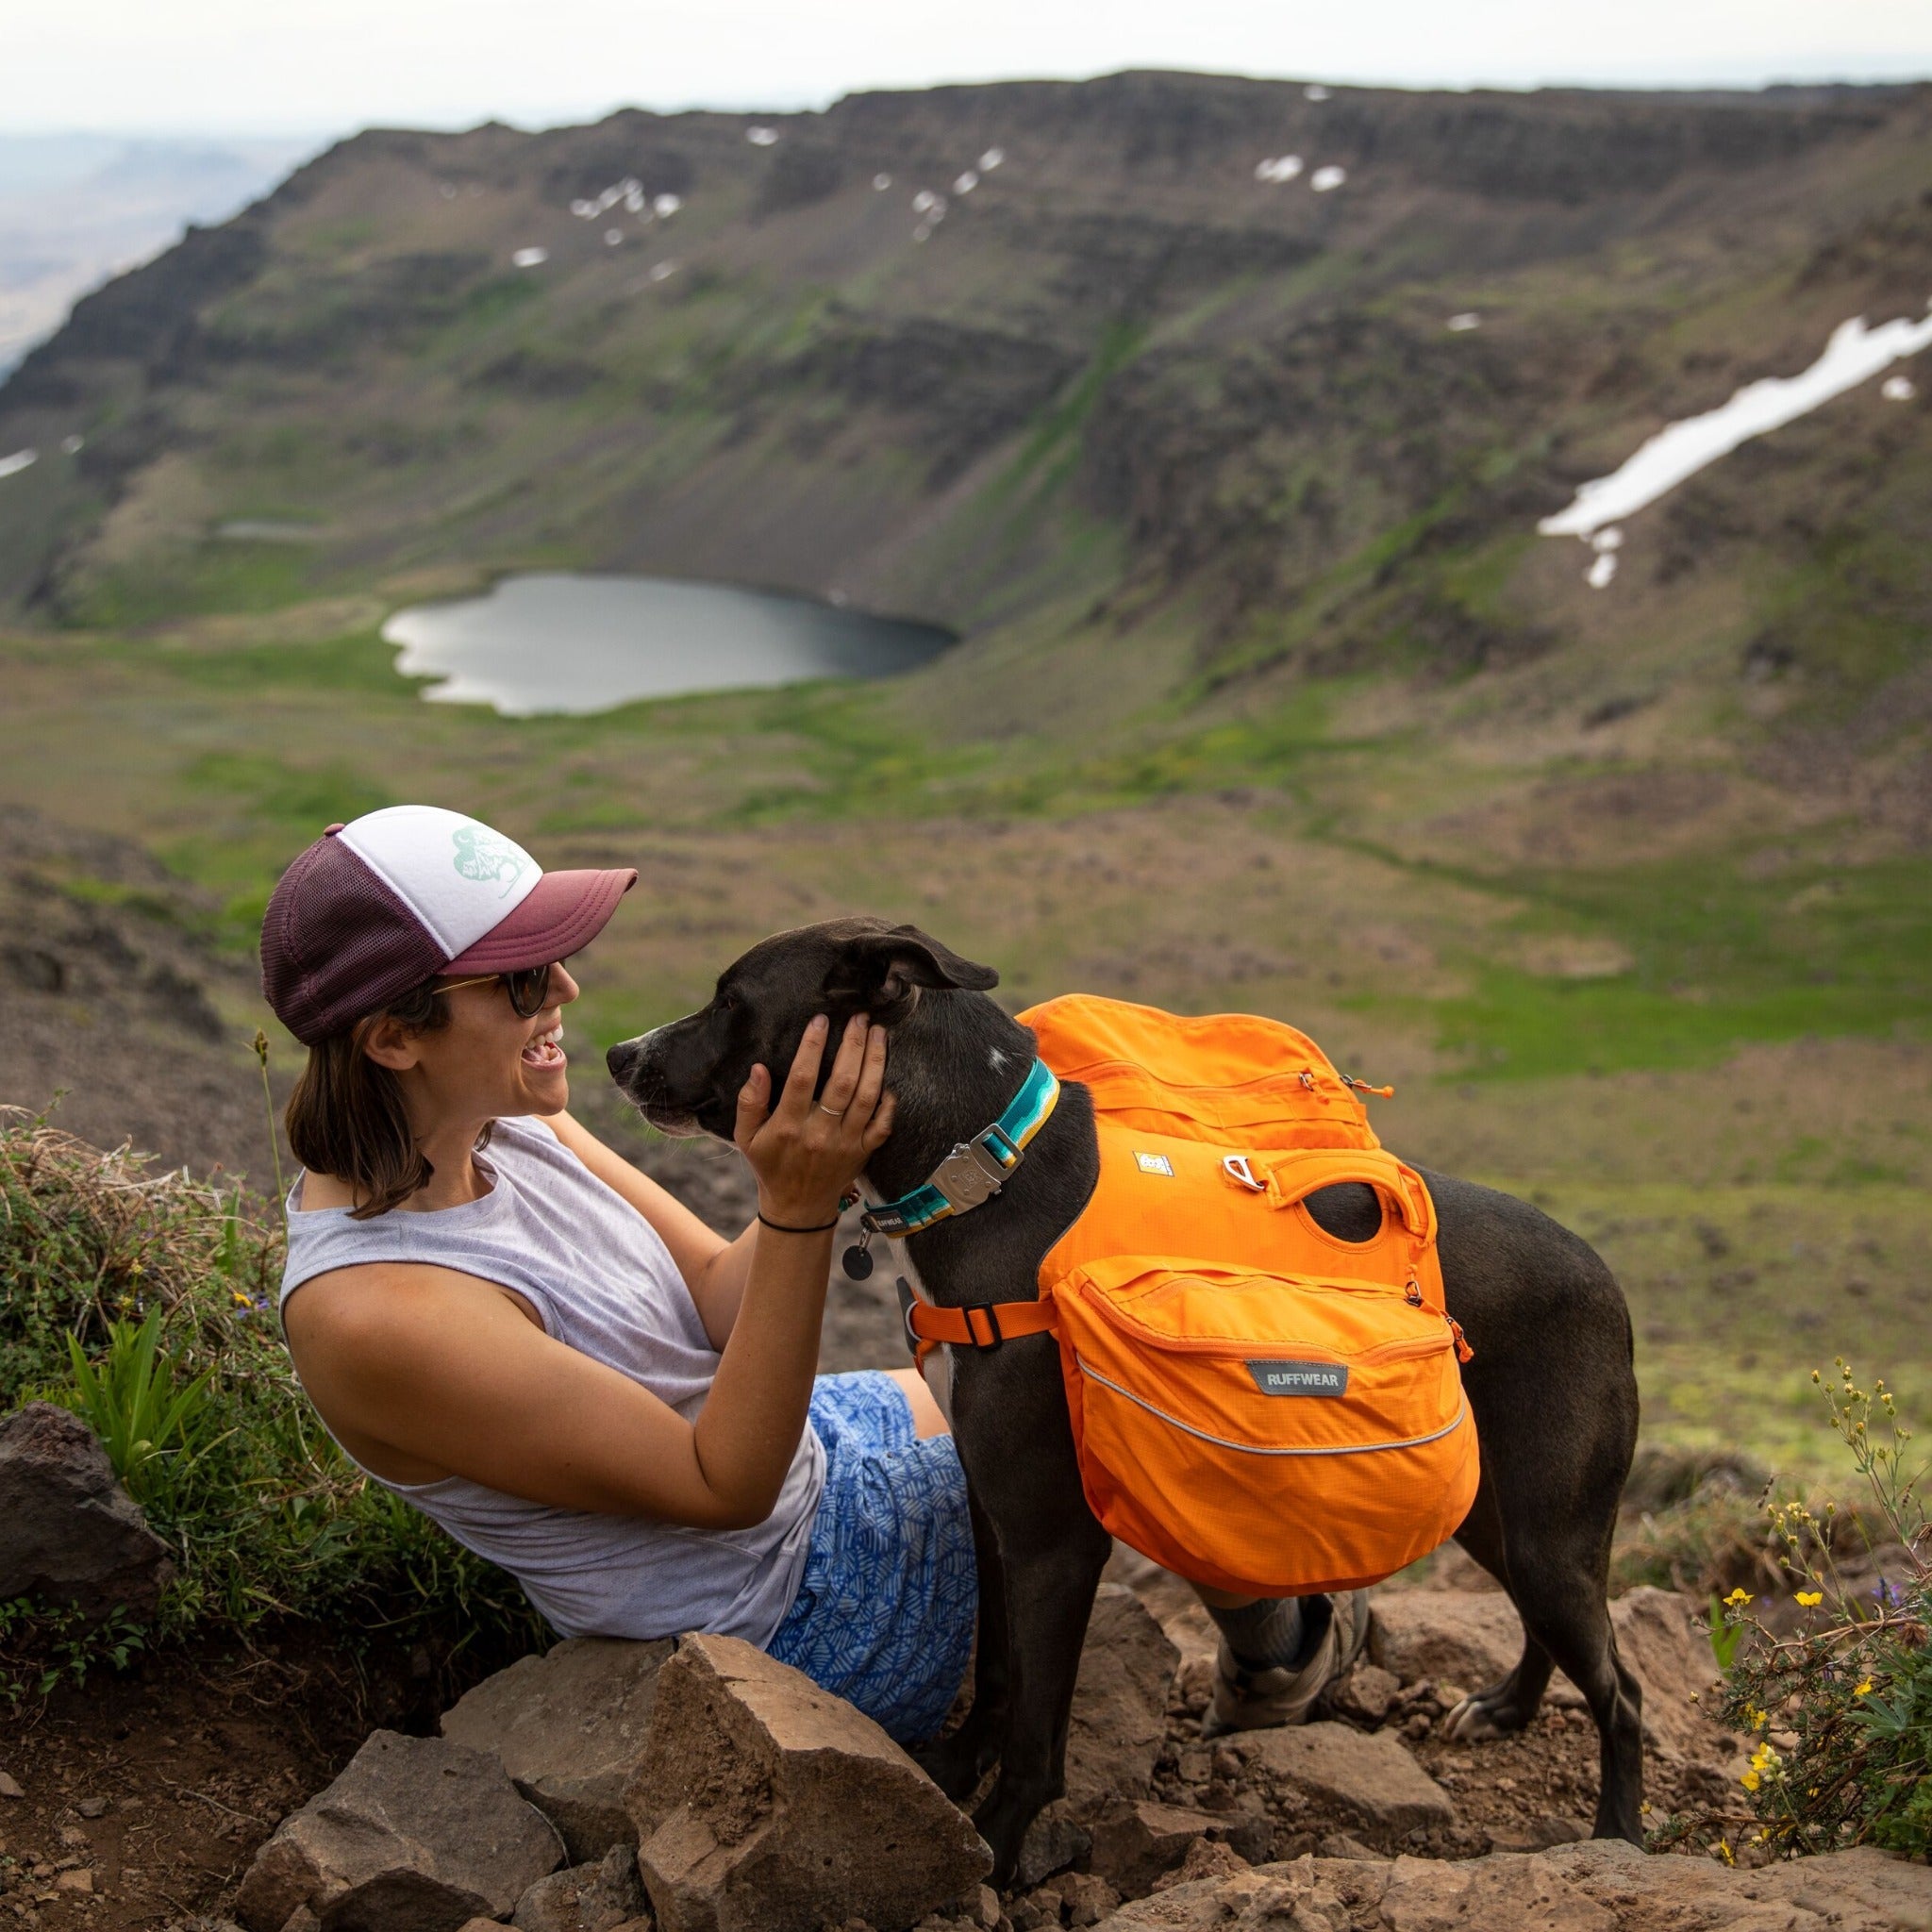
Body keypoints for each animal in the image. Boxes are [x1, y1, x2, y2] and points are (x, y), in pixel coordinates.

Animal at [607, 919, 1645, 1885]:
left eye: (731, 999)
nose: (618, 1053)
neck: (988, 1175)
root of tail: (1603, 1273)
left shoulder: (1056, 1540)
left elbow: (1039, 1733)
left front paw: (996, 1845)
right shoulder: (994, 1510)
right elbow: (997, 1673)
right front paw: (953, 1767)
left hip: (1546, 1529)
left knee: (1619, 1688)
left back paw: (1620, 1833)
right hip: (1495, 1514)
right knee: (1557, 1631)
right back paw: (1506, 1707)